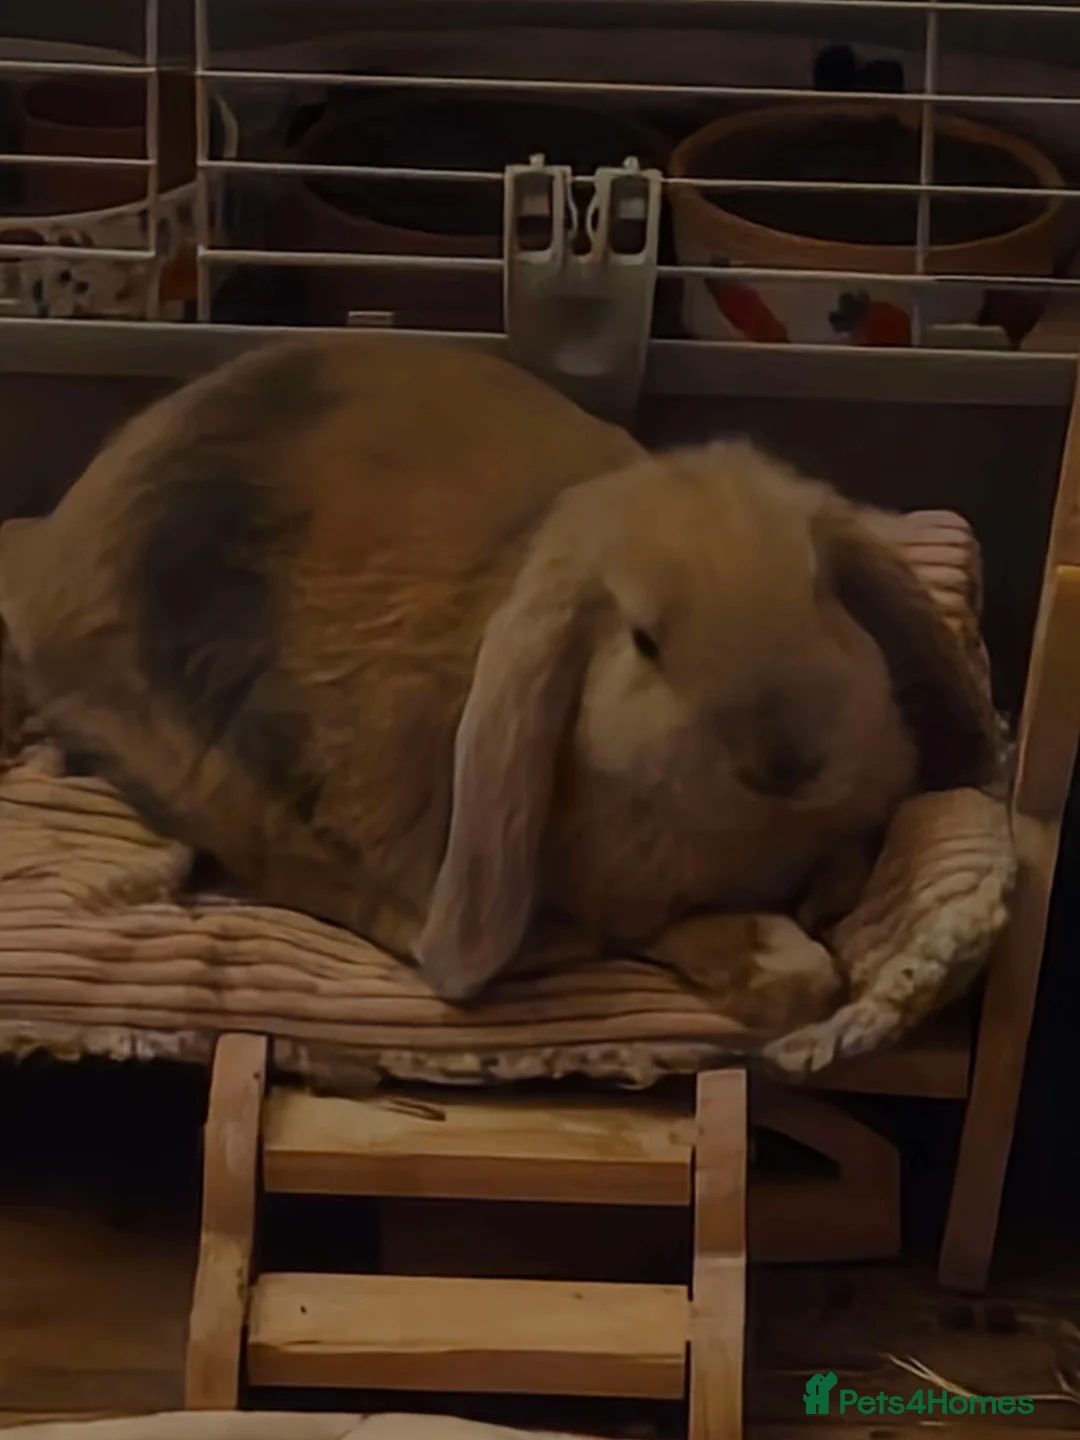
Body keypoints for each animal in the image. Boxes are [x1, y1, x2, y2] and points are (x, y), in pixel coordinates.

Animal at [0, 335, 997, 1005]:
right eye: (645, 641)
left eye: (823, 590)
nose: (786, 758)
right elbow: (664, 931)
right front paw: (782, 962)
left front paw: (826, 899)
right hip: (204, 769)